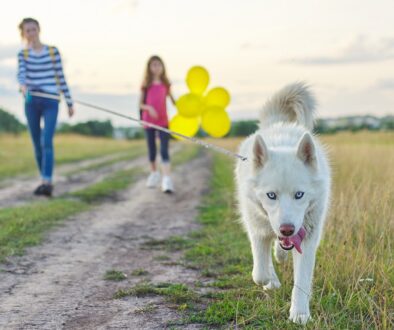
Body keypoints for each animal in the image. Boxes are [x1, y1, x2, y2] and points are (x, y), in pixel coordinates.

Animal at [235, 82, 330, 324]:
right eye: (271, 195)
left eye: (299, 195)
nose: (287, 229)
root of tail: (277, 123)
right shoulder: (257, 229)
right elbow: (259, 273)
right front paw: (270, 280)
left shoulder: (307, 237)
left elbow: (302, 281)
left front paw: (300, 313)